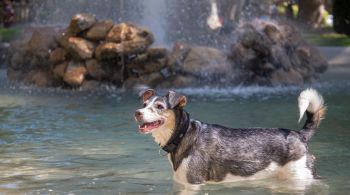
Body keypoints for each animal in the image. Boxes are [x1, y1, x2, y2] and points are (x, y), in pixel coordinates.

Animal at [133, 88, 326, 187]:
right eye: (144, 104)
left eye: (159, 106)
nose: (137, 113)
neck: (183, 134)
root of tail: (299, 135)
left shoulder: (194, 183)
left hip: (301, 175)